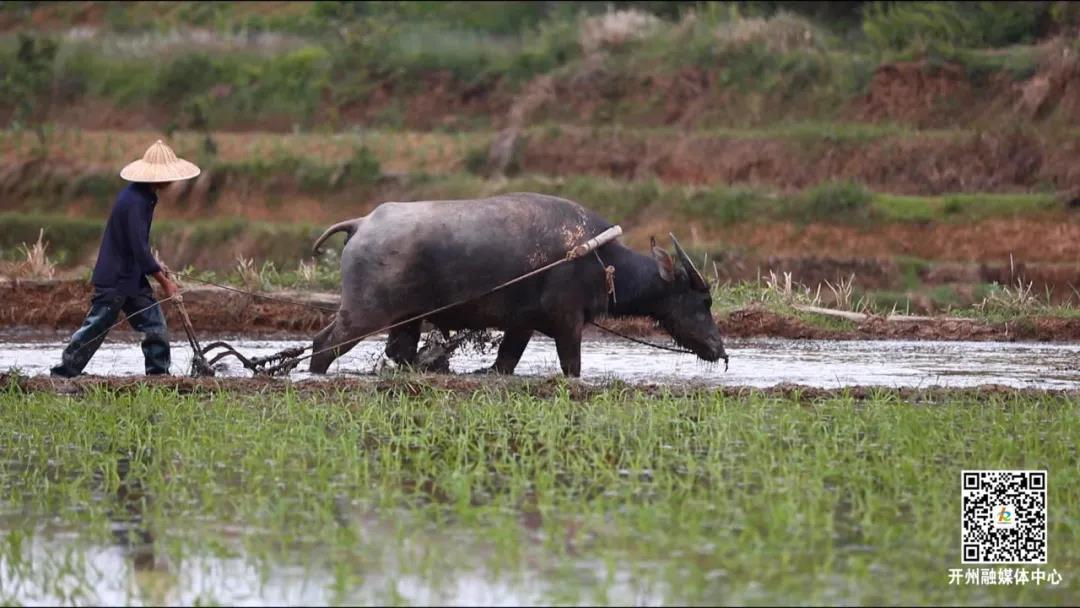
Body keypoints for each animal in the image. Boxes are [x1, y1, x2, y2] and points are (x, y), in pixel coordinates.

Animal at [308, 195, 725, 375]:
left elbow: (504, 363)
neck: (601, 261)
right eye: (702, 301)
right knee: (323, 345)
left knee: (399, 351)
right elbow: (572, 367)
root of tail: (362, 223)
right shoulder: (568, 323)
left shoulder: (521, 326)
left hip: (406, 318)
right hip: (364, 312)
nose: (721, 351)